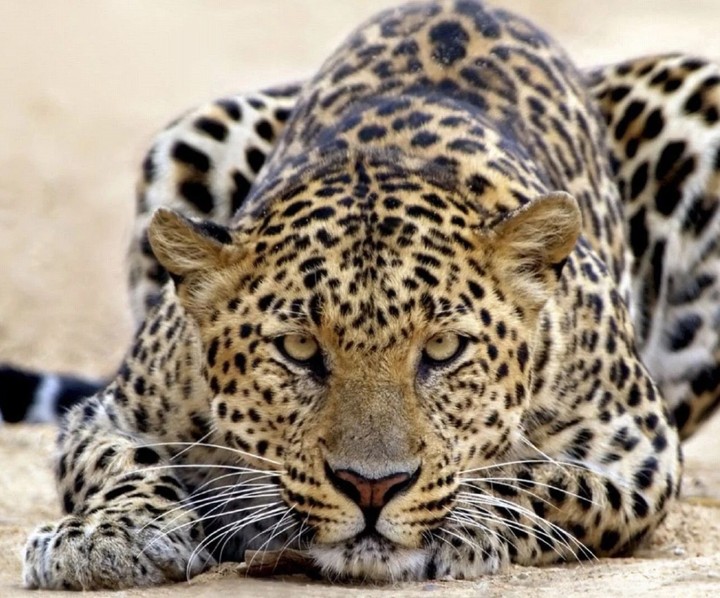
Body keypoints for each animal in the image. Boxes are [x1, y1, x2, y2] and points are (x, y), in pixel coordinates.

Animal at [17, 0, 720, 590]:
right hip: (198, 129)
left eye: (444, 348)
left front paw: (466, 523)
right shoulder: (110, 414)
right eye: (299, 349)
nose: (372, 488)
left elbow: (539, 479)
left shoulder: (638, 450)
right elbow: (121, 463)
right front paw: (104, 535)